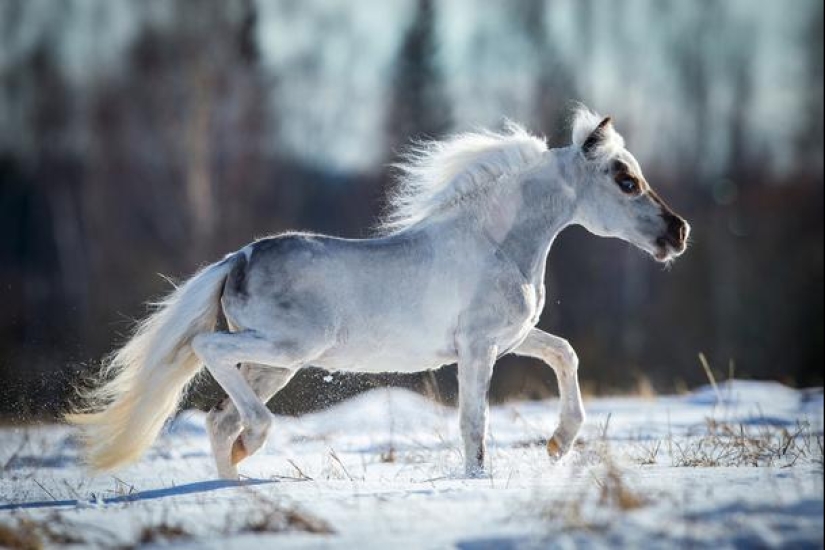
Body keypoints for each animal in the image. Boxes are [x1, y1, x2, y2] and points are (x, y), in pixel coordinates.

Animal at [69, 106, 688, 478]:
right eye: (625, 180)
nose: (678, 232)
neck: (497, 243)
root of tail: (239, 258)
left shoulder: (509, 339)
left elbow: (565, 353)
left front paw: (559, 443)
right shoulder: (478, 347)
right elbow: (474, 422)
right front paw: (480, 480)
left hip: (274, 364)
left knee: (220, 421)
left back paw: (234, 484)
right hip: (284, 348)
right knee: (209, 357)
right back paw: (255, 443)